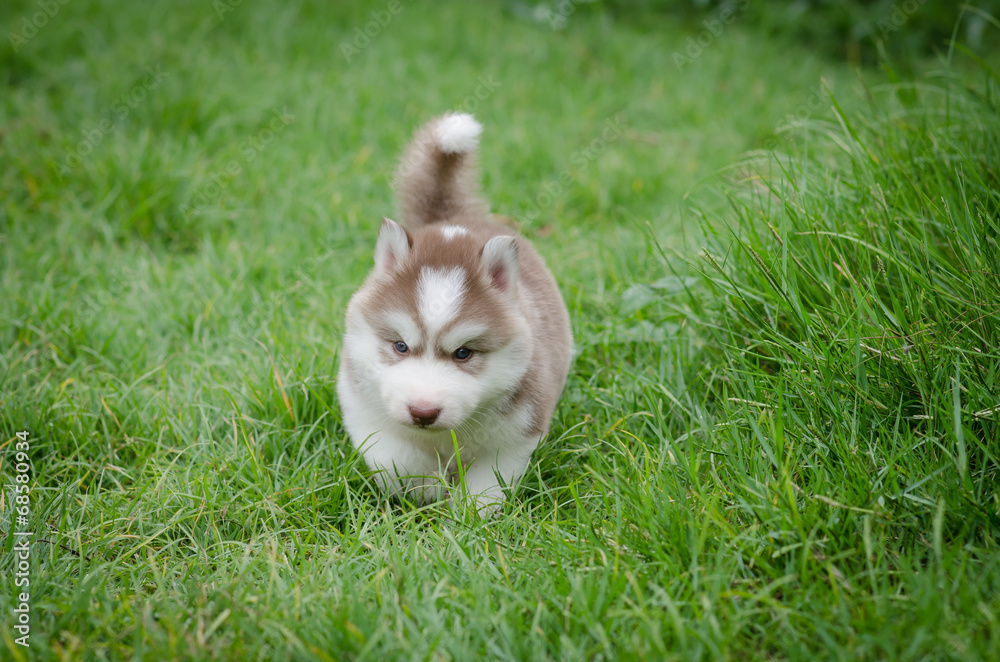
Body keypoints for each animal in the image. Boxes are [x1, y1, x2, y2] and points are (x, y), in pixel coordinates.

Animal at [336, 113, 572, 508]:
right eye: (400, 346)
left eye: (463, 353)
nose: (423, 412)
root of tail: (453, 218)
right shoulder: (365, 413)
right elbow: (400, 457)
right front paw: (427, 487)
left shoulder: (519, 430)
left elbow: (488, 480)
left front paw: (468, 511)